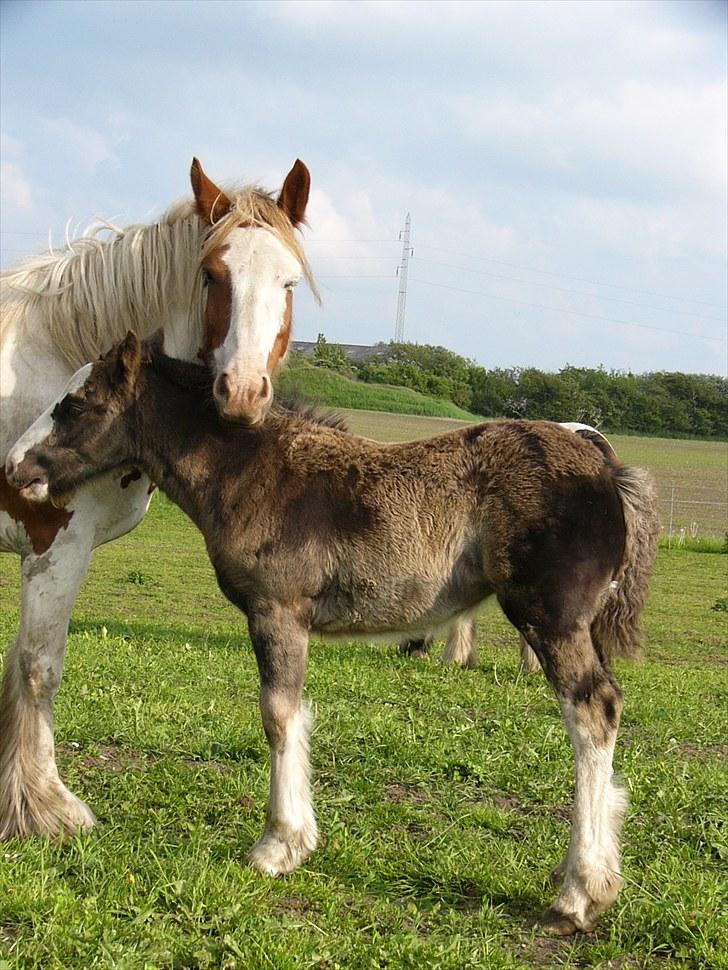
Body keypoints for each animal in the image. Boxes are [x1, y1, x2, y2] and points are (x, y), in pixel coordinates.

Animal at [0, 155, 318, 836]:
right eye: (211, 274)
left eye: (288, 282)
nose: (243, 392)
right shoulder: (54, 544)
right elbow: (39, 666)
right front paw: (46, 809)